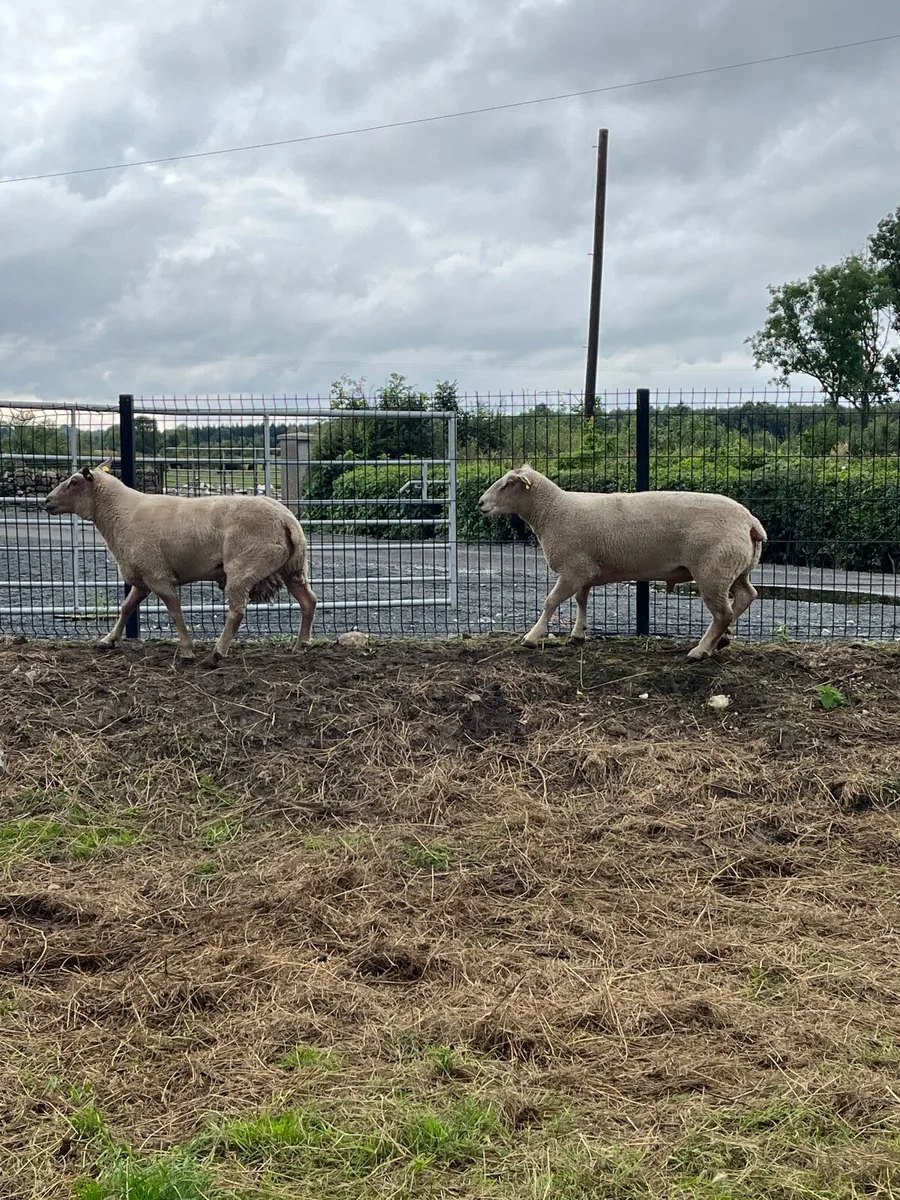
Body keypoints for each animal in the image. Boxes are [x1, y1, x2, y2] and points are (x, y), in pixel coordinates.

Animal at [43, 460, 317, 666]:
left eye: (74, 482)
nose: (46, 502)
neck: (120, 513)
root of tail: (287, 520)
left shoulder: (157, 575)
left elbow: (174, 611)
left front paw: (187, 650)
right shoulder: (143, 578)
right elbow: (126, 608)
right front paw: (108, 640)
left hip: (243, 567)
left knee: (237, 611)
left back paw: (216, 654)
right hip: (292, 568)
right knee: (309, 601)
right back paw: (300, 646)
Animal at [478, 465, 766, 659]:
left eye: (508, 484)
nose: (480, 504)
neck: (553, 511)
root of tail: (750, 522)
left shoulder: (573, 568)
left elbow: (551, 601)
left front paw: (531, 636)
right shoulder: (586, 570)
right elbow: (581, 600)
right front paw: (578, 634)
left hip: (713, 570)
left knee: (723, 613)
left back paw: (701, 649)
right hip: (735, 569)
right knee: (746, 596)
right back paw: (721, 640)